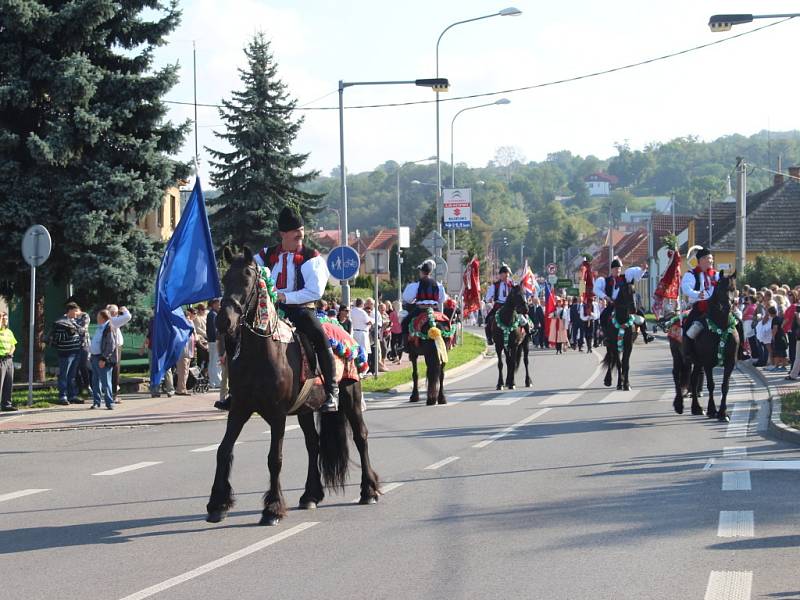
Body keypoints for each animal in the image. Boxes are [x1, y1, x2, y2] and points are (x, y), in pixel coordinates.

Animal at [206, 248, 382, 524]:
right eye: (224, 279)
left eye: (247, 279)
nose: (224, 322)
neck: (261, 353)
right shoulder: (239, 409)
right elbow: (223, 450)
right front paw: (217, 504)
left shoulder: (277, 414)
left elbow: (274, 458)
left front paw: (272, 509)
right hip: (305, 410)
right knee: (313, 444)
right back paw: (311, 495)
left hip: (351, 397)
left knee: (360, 437)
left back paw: (369, 491)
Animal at [684, 272, 740, 422]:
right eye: (719, 288)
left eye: (733, 288)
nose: (727, 306)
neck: (721, 326)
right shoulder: (708, 363)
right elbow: (711, 385)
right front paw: (712, 410)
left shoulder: (730, 363)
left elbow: (725, 386)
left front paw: (723, 413)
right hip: (695, 361)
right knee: (693, 380)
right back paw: (697, 408)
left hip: (698, 363)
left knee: (694, 379)